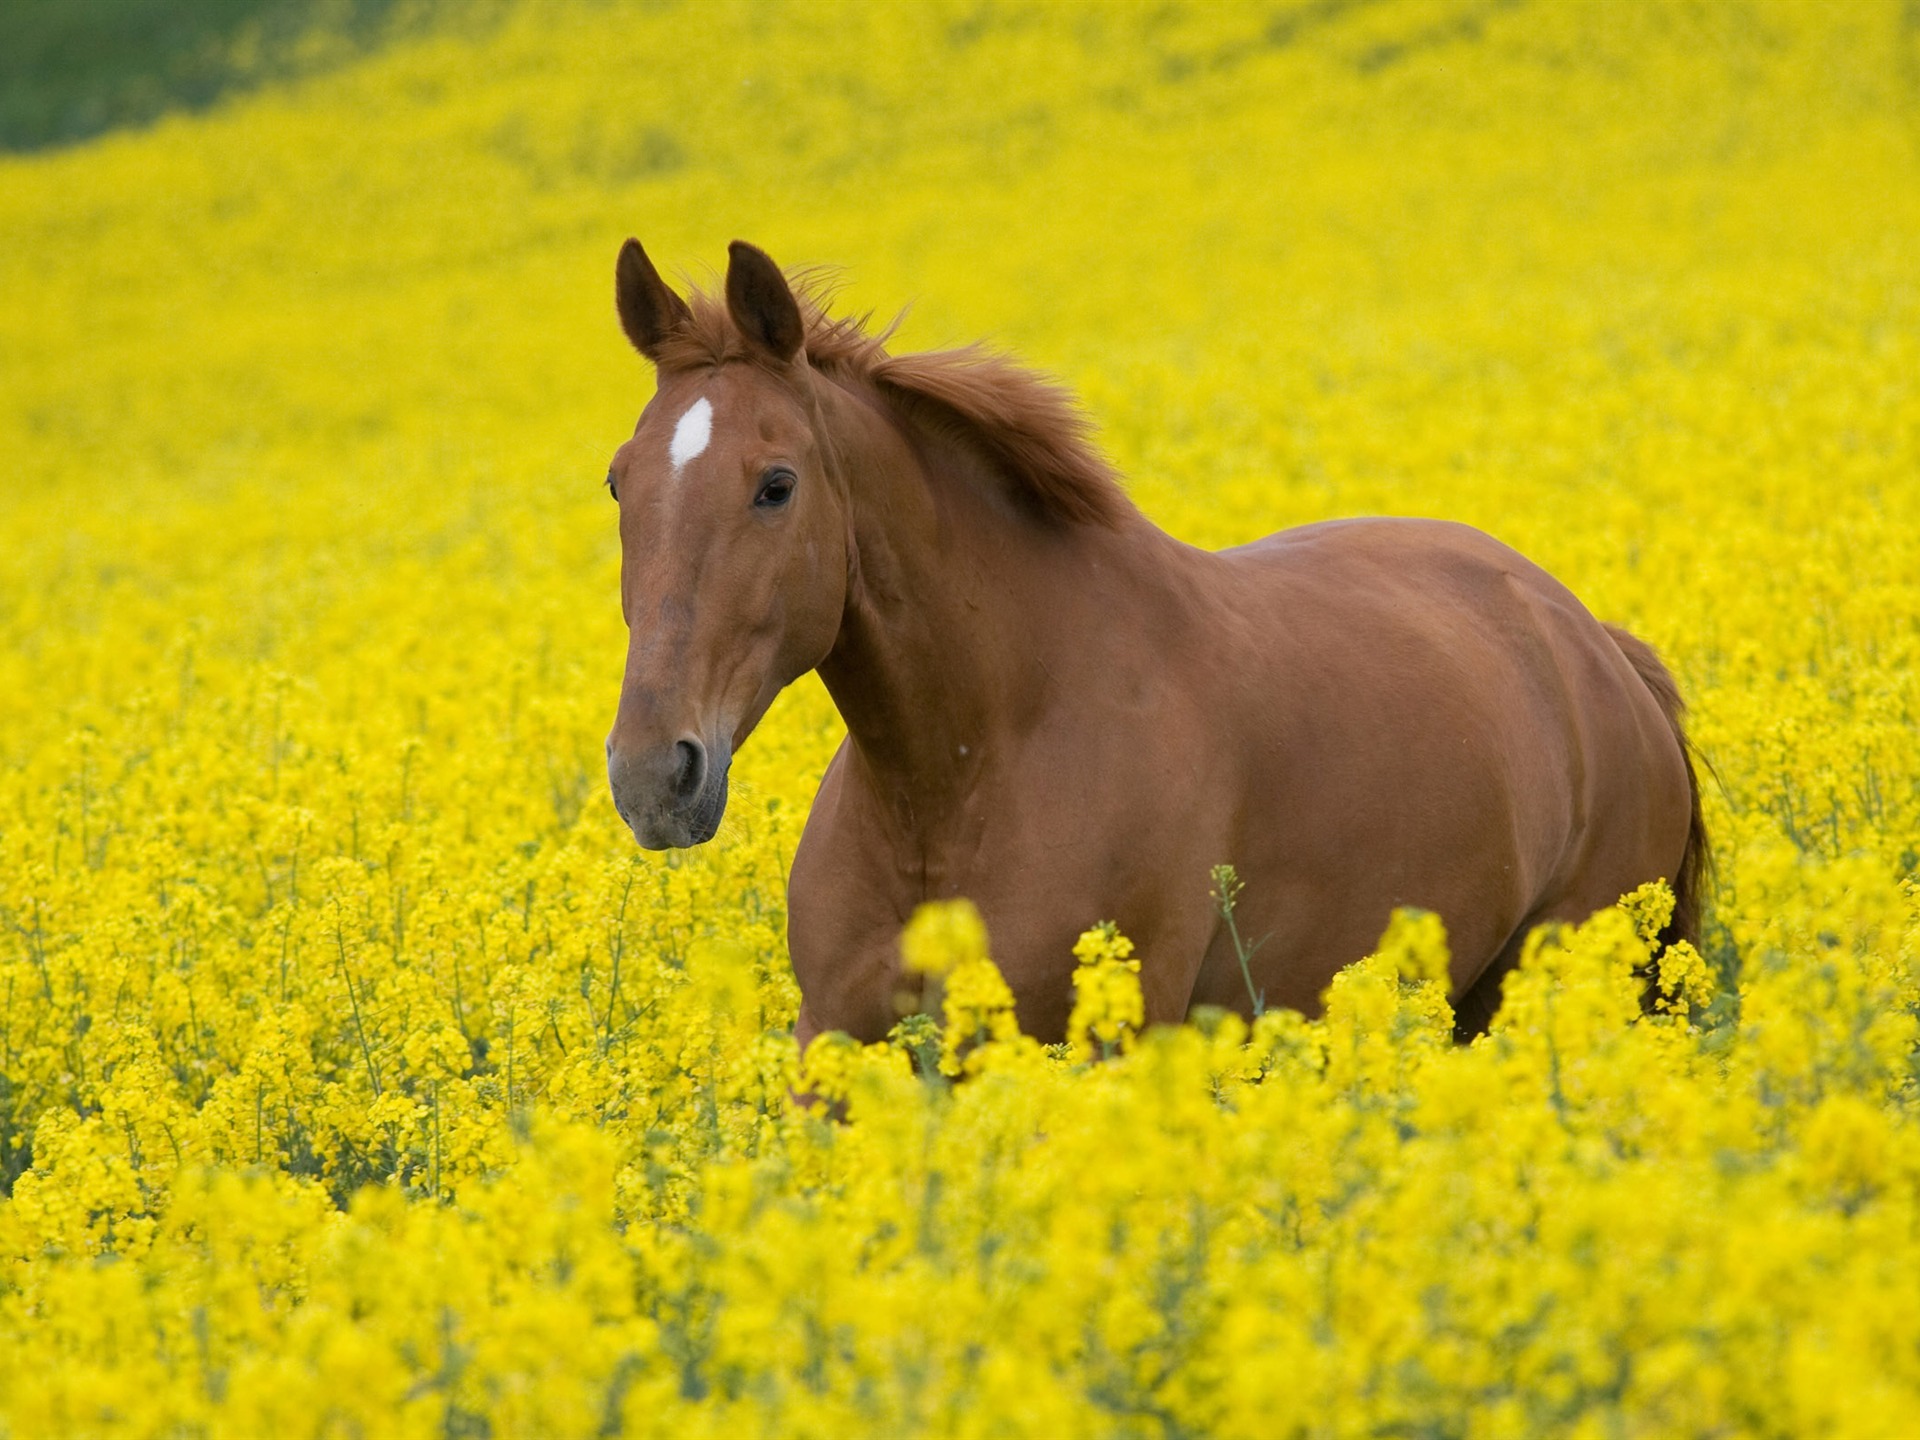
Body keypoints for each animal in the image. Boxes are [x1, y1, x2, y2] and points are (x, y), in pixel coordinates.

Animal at [602, 237, 1712, 1052]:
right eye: (620, 480)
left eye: (776, 483)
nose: (655, 775)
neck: (965, 774)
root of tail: (1597, 648)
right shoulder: (833, 1048)